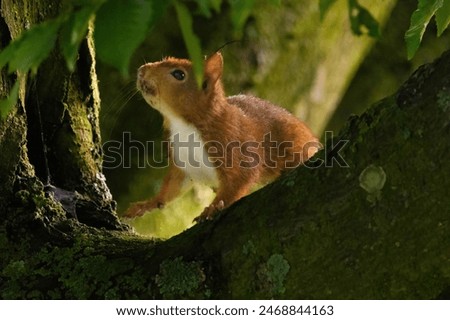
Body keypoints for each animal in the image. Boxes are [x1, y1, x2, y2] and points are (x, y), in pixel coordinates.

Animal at [124, 53, 320, 222]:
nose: (141, 70)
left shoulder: (235, 143)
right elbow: (171, 188)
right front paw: (146, 204)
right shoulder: (183, 164)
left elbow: (239, 179)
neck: (183, 126)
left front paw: (212, 208)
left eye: (179, 74)